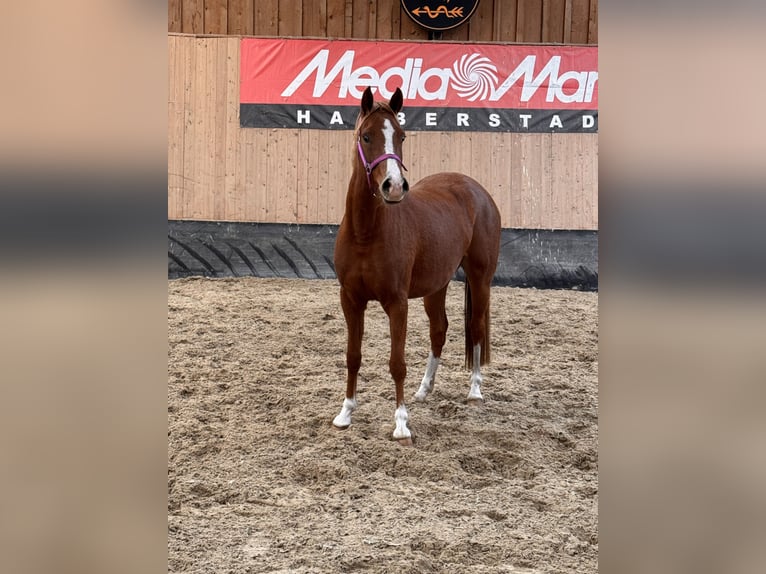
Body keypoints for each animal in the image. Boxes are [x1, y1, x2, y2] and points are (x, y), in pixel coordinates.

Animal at [332, 86, 500, 446]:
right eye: (366, 136)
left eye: (401, 136)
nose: (394, 187)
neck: (366, 232)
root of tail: (475, 189)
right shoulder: (350, 300)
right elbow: (353, 357)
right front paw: (345, 414)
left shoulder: (397, 304)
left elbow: (397, 362)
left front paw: (401, 425)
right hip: (436, 287)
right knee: (440, 330)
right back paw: (424, 389)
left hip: (480, 278)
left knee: (476, 327)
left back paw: (475, 391)